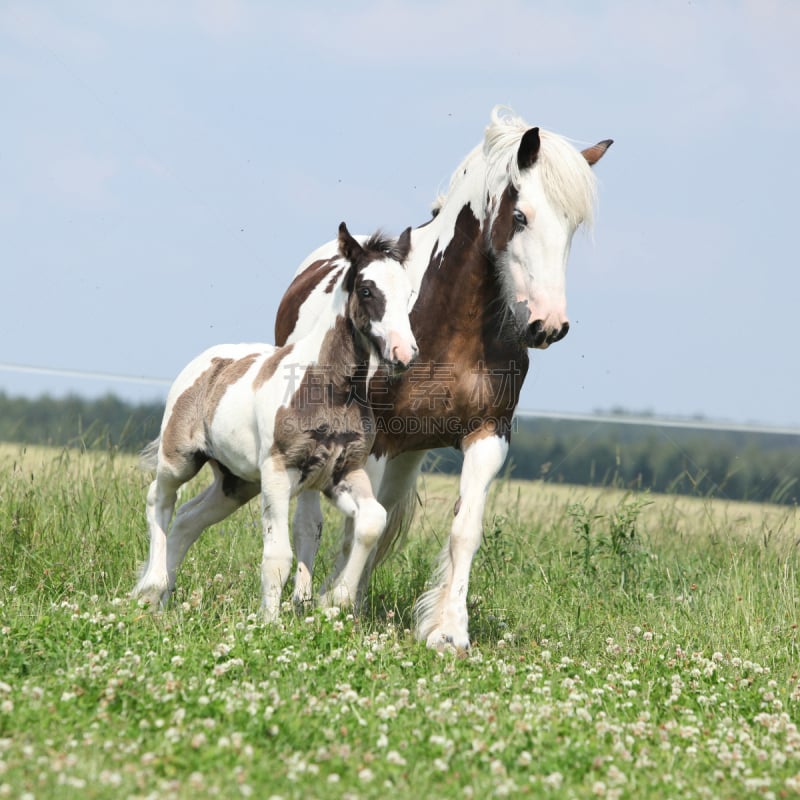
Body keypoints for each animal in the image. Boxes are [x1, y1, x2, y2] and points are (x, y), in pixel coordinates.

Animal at [131, 223, 418, 620]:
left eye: (409, 292)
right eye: (366, 289)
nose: (404, 353)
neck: (330, 390)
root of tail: (206, 360)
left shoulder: (344, 472)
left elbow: (372, 521)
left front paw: (335, 599)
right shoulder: (279, 472)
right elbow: (278, 556)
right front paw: (269, 623)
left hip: (236, 482)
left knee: (188, 518)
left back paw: (160, 602)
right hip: (180, 459)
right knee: (159, 499)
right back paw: (151, 586)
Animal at [276, 106, 612, 648]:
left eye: (573, 226)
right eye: (521, 216)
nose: (548, 325)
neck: (448, 318)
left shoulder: (488, 434)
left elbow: (461, 530)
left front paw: (448, 631)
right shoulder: (373, 439)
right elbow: (358, 526)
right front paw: (334, 602)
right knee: (312, 519)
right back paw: (305, 599)